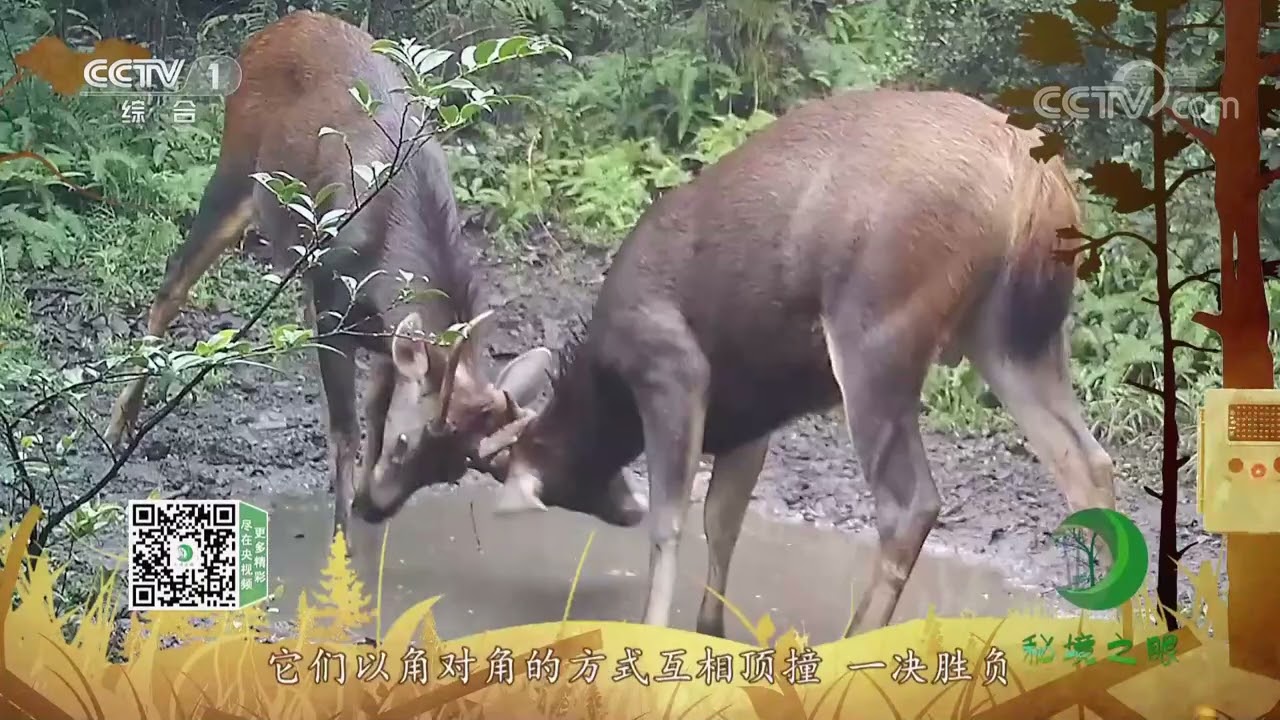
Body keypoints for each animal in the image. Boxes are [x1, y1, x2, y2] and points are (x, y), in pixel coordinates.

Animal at [102, 11, 572, 538]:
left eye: (451, 472)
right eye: (408, 443)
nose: (377, 508)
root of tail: (275, 28)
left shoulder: (386, 333)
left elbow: (375, 411)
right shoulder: (333, 302)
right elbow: (345, 430)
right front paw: (341, 537)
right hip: (237, 169)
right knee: (174, 282)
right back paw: (118, 426)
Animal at [469, 89, 1116, 639]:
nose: (620, 509)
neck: (605, 387)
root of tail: (1037, 183)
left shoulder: (673, 368)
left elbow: (671, 520)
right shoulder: (750, 413)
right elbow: (722, 518)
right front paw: (709, 630)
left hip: (876, 326)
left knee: (910, 503)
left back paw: (853, 642)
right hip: (1014, 335)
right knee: (1086, 461)